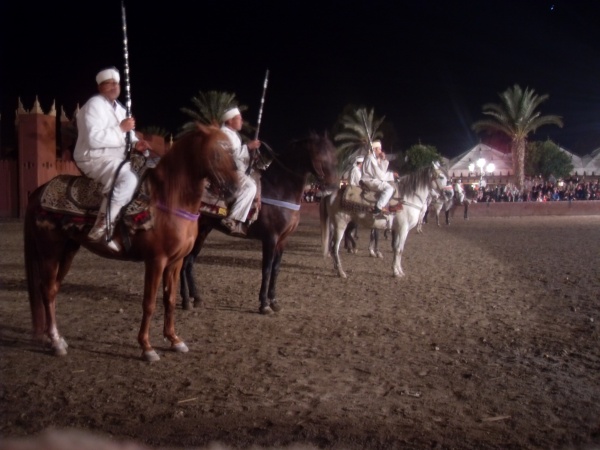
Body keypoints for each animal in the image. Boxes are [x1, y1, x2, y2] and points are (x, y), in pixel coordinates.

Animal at [24, 125, 238, 362]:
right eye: (217, 153)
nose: (234, 190)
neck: (169, 198)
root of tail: (38, 192)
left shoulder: (176, 262)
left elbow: (170, 300)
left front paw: (174, 340)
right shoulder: (155, 261)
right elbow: (149, 303)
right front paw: (147, 347)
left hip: (68, 251)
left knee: (53, 289)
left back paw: (56, 338)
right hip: (49, 252)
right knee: (47, 290)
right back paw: (55, 341)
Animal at [179, 132, 339, 314]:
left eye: (334, 155)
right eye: (320, 156)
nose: (333, 185)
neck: (279, 190)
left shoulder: (283, 240)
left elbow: (276, 269)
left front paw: (274, 301)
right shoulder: (270, 238)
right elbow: (266, 269)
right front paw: (264, 304)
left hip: (204, 230)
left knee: (189, 263)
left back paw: (196, 298)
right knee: (184, 263)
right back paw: (186, 300)